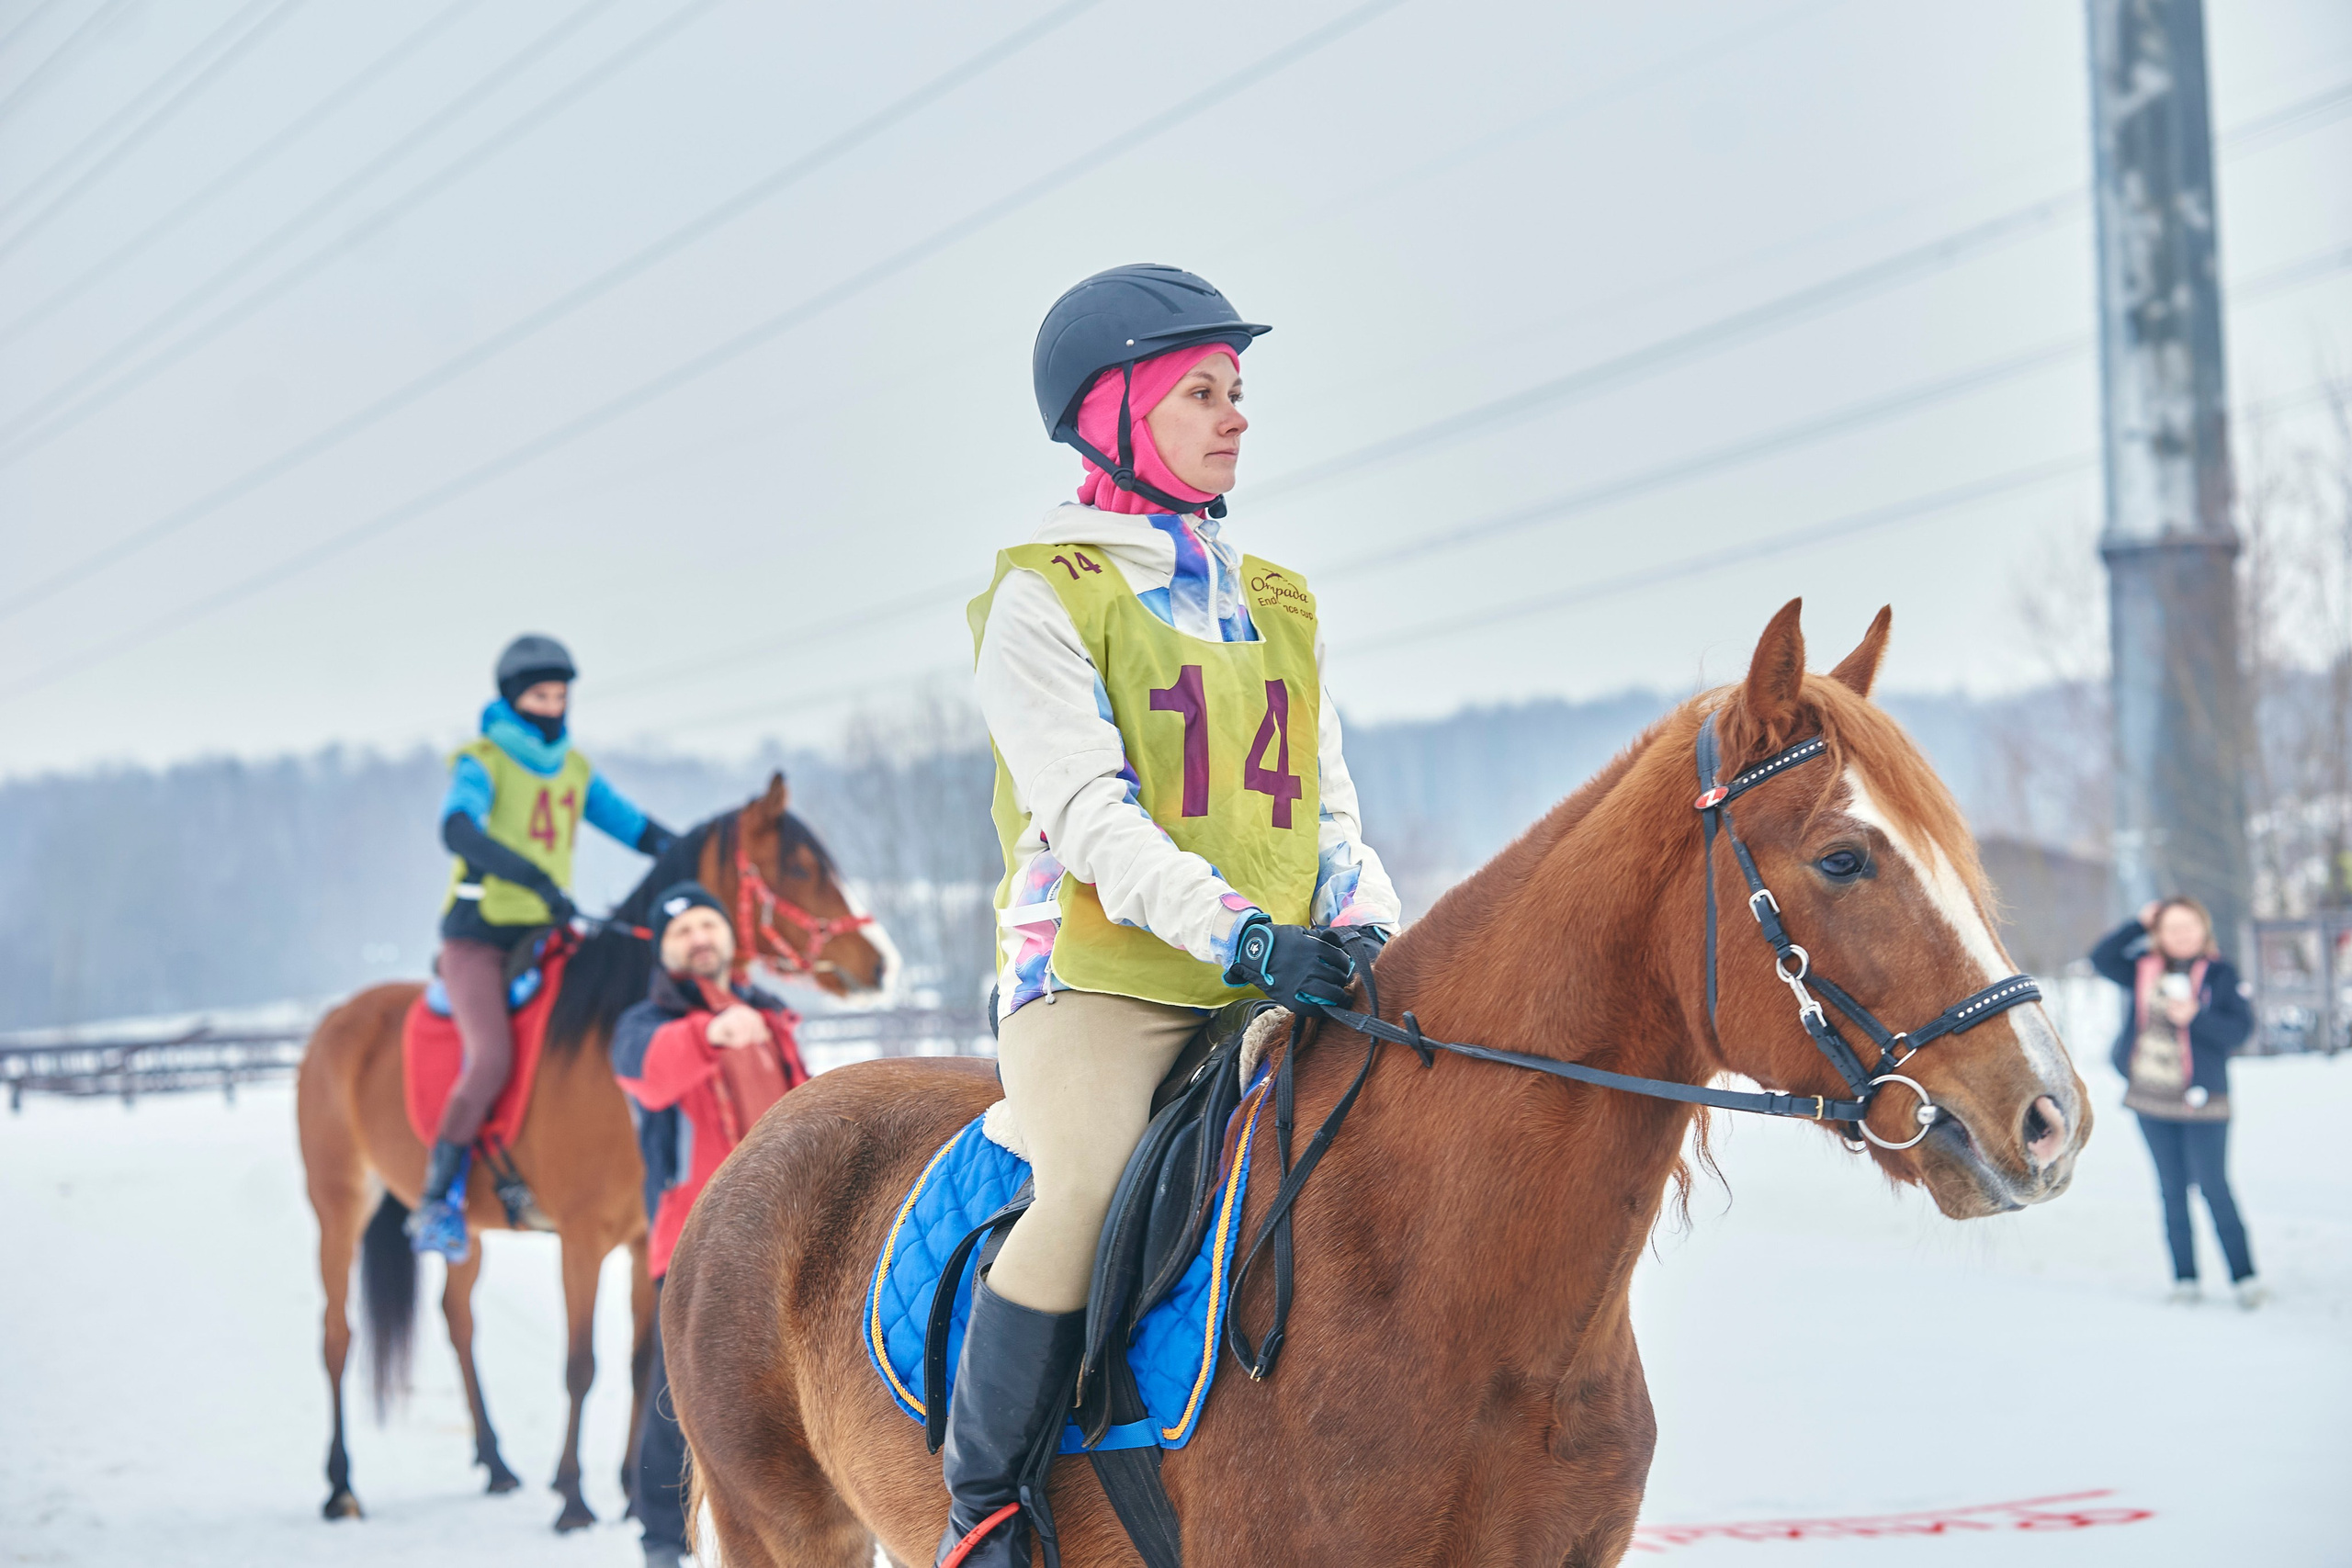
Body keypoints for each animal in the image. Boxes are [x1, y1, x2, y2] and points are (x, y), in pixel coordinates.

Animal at [295, 772, 889, 1531]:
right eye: (801, 868)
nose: (880, 960)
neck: (607, 1041)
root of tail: (337, 1021)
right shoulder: (580, 1240)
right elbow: (582, 1363)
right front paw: (575, 1496)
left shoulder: (642, 1240)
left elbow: (639, 1362)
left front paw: (630, 1493)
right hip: (338, 1201)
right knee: (336, 1335)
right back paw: (341, 1483)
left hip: (469, 1229)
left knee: (458, 1320)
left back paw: (495, 1462)